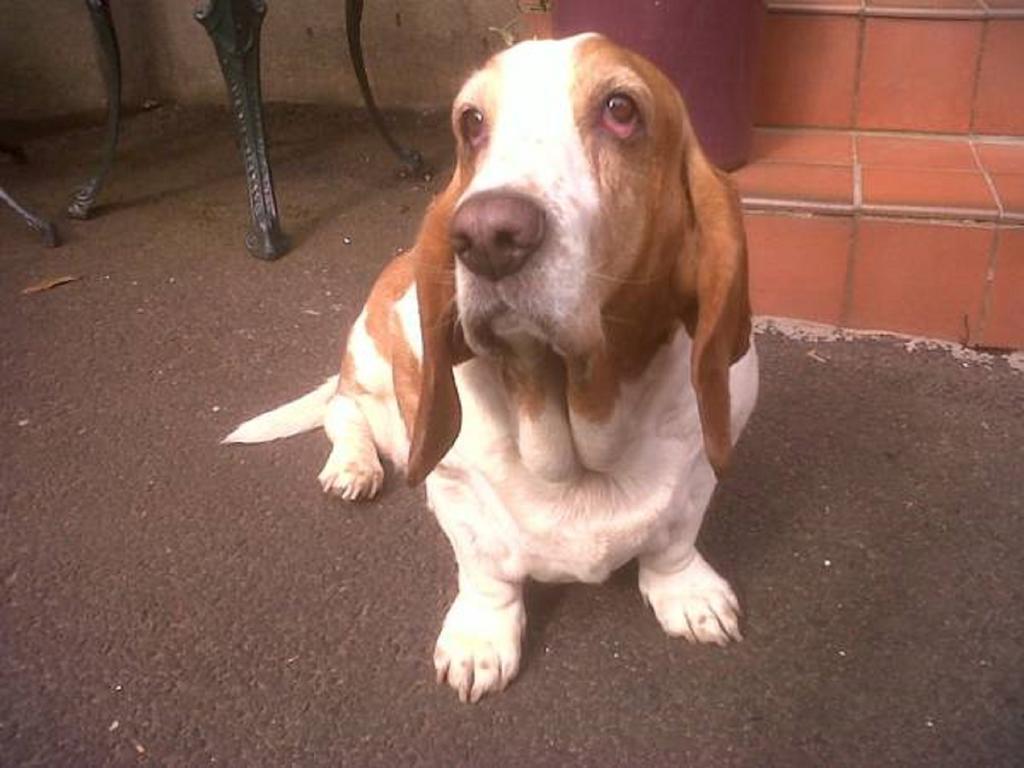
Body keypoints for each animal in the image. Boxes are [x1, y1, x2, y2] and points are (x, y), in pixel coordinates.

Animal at [224, 34, 757, 704]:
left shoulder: (700, 469)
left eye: (621, 109)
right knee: (341, 410)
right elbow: (486, 572)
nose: (485, 235)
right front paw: (481, 639)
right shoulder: (457, 493)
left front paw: (686, 593)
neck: (577, 433)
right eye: (471, 123)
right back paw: (354, 465)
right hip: (368, 357)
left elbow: (675, 539)